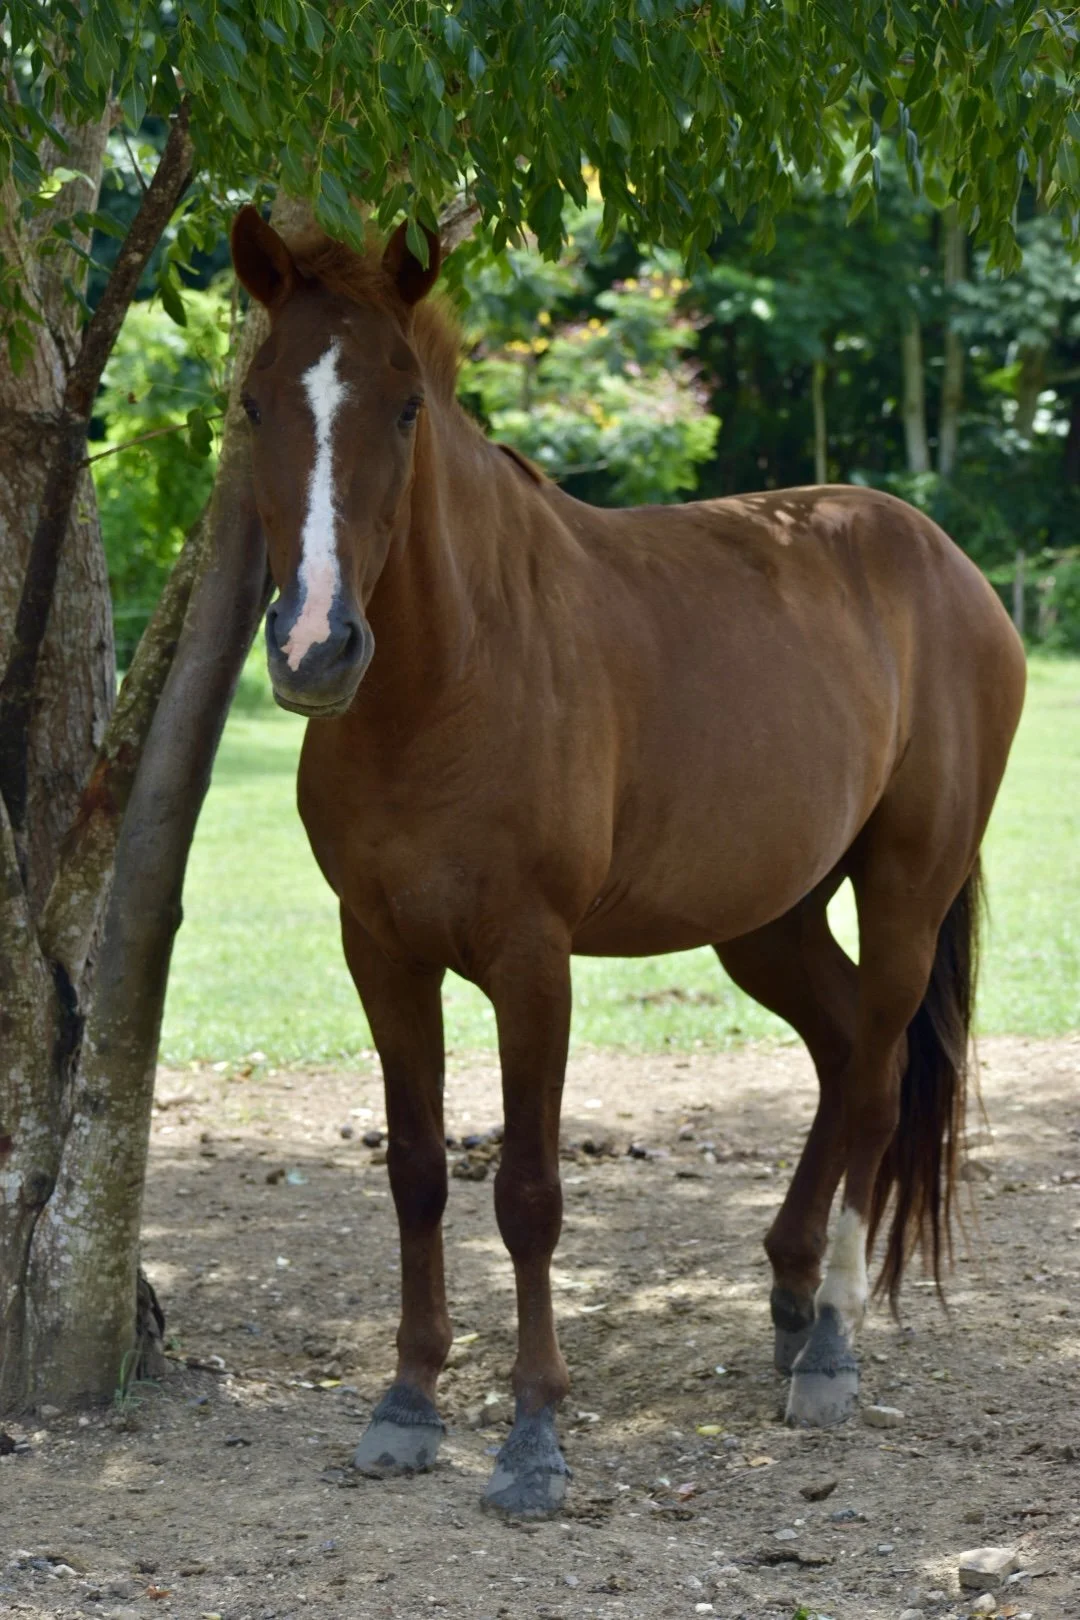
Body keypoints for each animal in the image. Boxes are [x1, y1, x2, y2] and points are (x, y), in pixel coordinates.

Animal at [229, 205, 1026, 1517]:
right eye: (253, 404)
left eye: (405, 407)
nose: (314, 646)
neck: (449, 679)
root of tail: (946, 563)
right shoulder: (380, 951)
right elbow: (416, 1172)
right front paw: (407, 1404)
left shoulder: (531, 961)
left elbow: (528, 1193)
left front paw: (534, 1437)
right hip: (767, 918)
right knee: (841, 1045)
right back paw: (789, 1296)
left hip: (906, 888)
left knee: (873, 1084)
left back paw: (831, 1346)